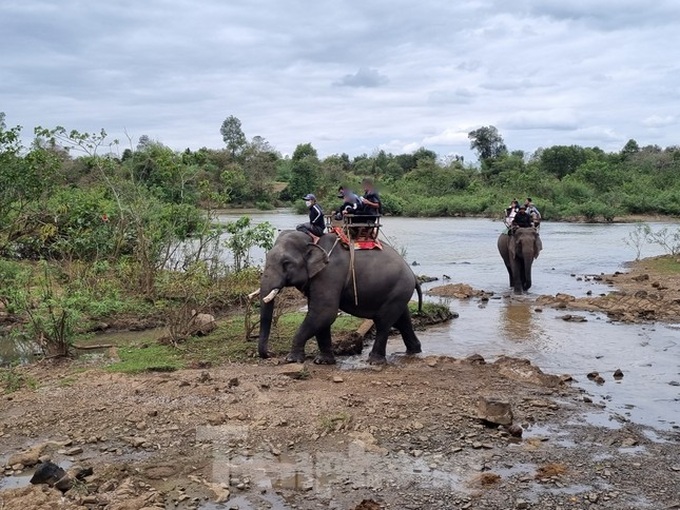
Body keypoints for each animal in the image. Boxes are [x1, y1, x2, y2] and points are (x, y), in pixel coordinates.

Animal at [256, 230, 423, 365]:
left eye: (286, 263)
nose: (269, 354)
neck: (313, 240)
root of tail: (413, 275)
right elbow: (320, 316)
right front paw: (323, 361)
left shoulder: (329, 273)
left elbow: (324, 312)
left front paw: (292, 359)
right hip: (398, 293)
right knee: (402, 320)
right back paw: (414, 351)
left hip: (399, 288)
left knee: (383, 322)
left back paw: (375, 361)